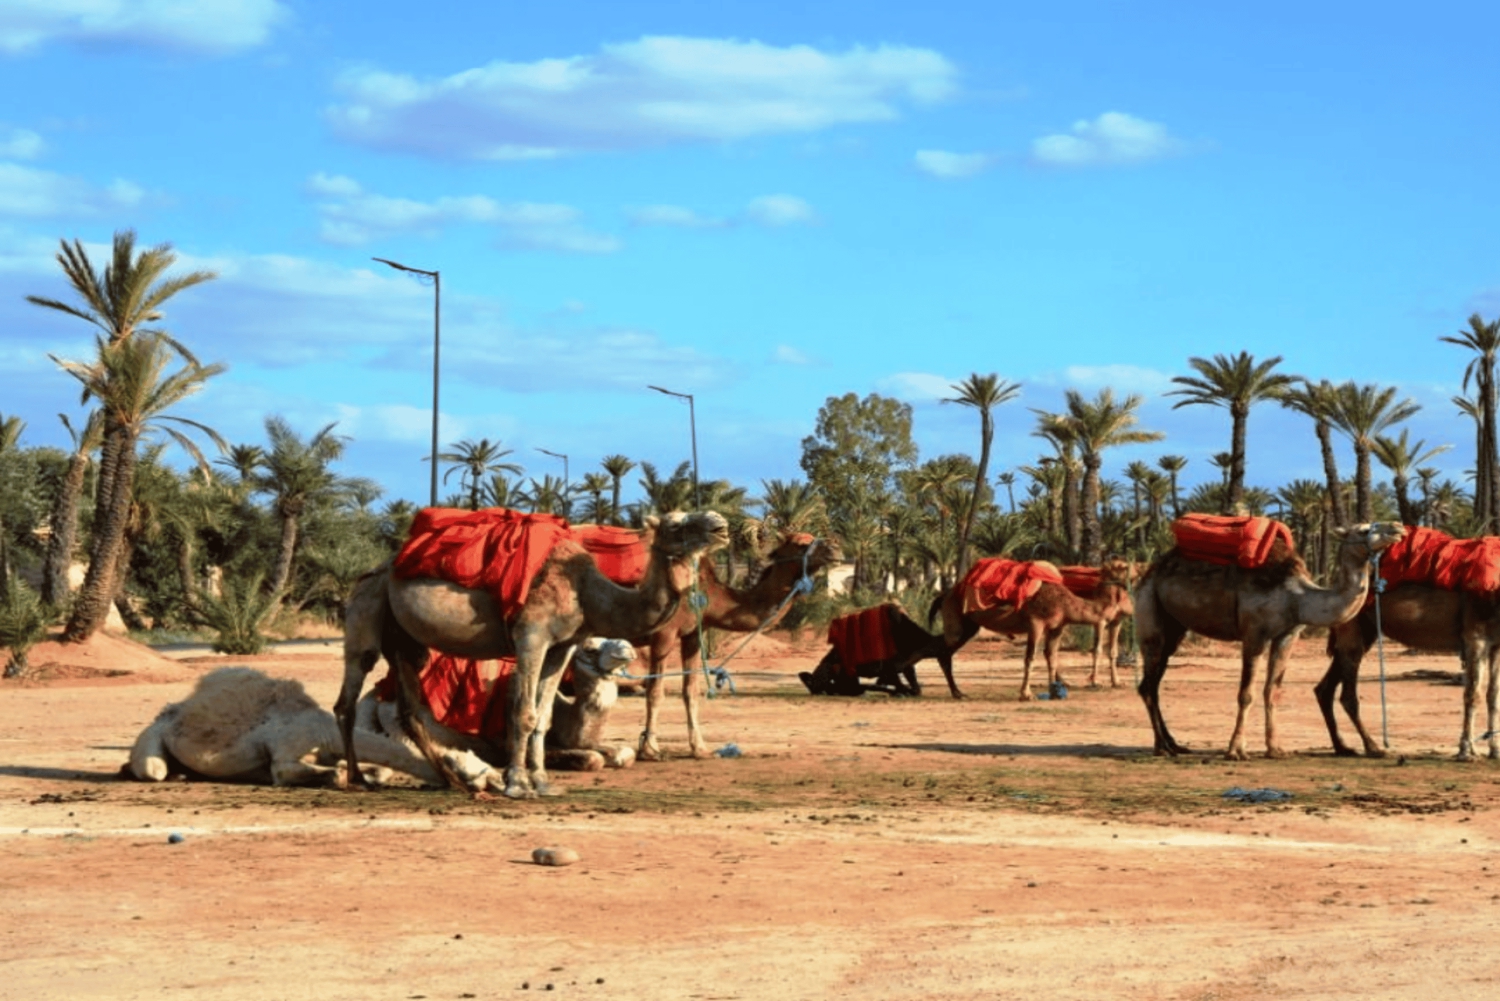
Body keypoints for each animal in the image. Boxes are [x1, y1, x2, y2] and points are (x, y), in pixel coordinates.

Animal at [126, 666, 495, 790]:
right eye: (468, 766)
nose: (490, 781)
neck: (323, 732)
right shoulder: (285, 753)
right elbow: (300, 772)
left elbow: (360, 769)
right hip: (151, 743)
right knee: (153, 768)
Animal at [636, 532, 839, 760]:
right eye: (801, 543)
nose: (835, 547)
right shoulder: (664, 633)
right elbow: (655, 691)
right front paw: (650, 749)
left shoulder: (693, 634)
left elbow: (690, 691)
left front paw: (700, 749)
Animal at [928, 564, 1134, 701]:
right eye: (1122, 567)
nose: (1129, 609)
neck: (1065, 602)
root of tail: (944, 595)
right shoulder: (1036, 623)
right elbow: (1030, 658)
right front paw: (1026, 694)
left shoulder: (1057, 626)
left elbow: (1052, 657)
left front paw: (1054, 692)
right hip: (956, 620)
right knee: (943, 651)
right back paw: (955, 692)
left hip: (970, 626)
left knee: (945, 651)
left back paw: (958, 692)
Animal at [1134, 521, 1405, 760]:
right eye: (1364, 529)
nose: (1398, 527)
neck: (1297, 597)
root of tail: (1150, 571)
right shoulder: (1254, 634)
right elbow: (1246, 693)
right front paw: (1236, 750)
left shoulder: (1287, 635)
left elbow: (1272, 690)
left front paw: (1275, 749)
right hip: (1150, 608)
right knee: (1148, 680)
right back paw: (1161, 748)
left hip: (1175, 628)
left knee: (1154, 682)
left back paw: (1174, 744)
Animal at [1320, 584, 1500, 761]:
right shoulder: (1475, 637)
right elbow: (1473, 695)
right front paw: (1465, 751)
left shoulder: (1495, 645)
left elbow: (1493, 696)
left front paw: (1494, 751)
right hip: (1352, 625)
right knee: (1347, 694)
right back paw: (1373, 748)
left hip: (1365, 630)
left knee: (1324, 688)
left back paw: (1342, 747)